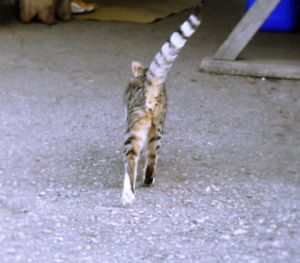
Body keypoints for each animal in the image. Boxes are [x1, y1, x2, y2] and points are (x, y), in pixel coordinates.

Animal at [122, 3, 204, 206]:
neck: (143, 76)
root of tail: (150, 89)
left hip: (136, 128)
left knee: (131, 160)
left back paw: (128, 194)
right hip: (157, 129)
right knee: (151, 158)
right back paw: (147, 180)